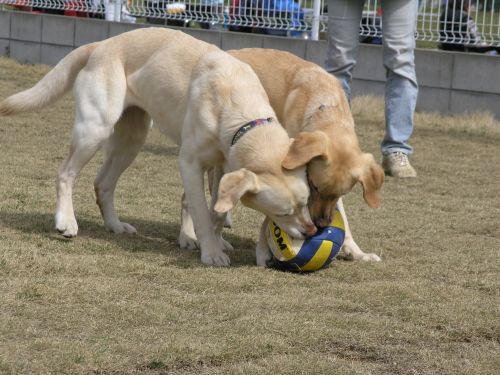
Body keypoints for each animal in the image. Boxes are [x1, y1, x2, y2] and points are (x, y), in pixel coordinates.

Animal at [0, 29, 314, 268]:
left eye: (305, 202)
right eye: (283, 213)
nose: (312, 232)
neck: (238, 105)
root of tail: (101, 44)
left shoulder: (223, 166)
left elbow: (217, 212)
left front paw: (216, 241)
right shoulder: (190, 163)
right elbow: (201, 212)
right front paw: (210, 252)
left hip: (132, 139)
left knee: (103, 183)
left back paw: (115, 225)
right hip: (94, 128)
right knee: (65, 173)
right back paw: (66, 222)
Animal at [229, 48, 384, 262]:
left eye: (341, 193)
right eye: (313, 186)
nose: (322, 225)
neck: (327, 107)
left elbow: (344, 217)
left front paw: (357, 252)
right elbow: (272, 212)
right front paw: (263, 251)